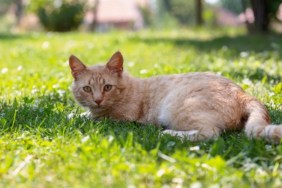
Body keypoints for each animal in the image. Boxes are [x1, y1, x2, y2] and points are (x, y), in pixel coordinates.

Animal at [68, 50, 282, 143]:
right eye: (87, 89)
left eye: (107, 87)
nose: (97, 100)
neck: (127, 87)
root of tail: (242, 92)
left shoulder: (120, 118)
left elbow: (94, 117)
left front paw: (80, 116)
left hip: (177, 108)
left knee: (211, 133)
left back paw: (170, 133)